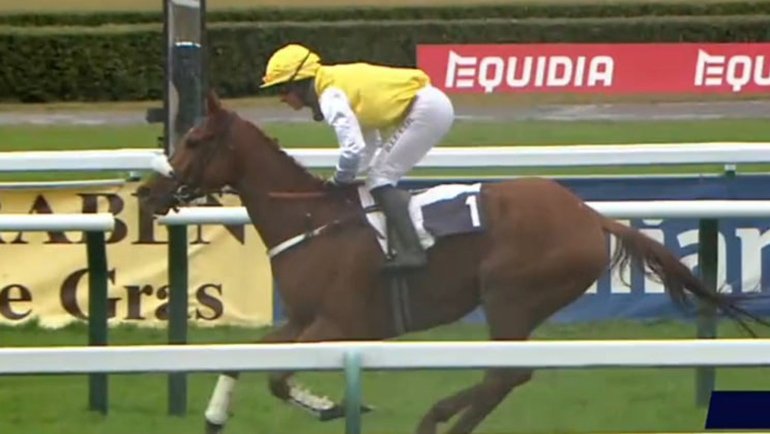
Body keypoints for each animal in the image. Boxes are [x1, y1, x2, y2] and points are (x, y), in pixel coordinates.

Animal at [137, 90, 769, 434]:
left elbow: (276, 377)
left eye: (194, 141)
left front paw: (332, 404)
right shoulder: (301, 320)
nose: (147, 192)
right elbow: (247, 359)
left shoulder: (337, 324)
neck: (310, 220)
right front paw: (216, 415)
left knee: (505, 373)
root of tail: (592, 218)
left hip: (509, 294)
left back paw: (436, 418)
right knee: (504, 376)